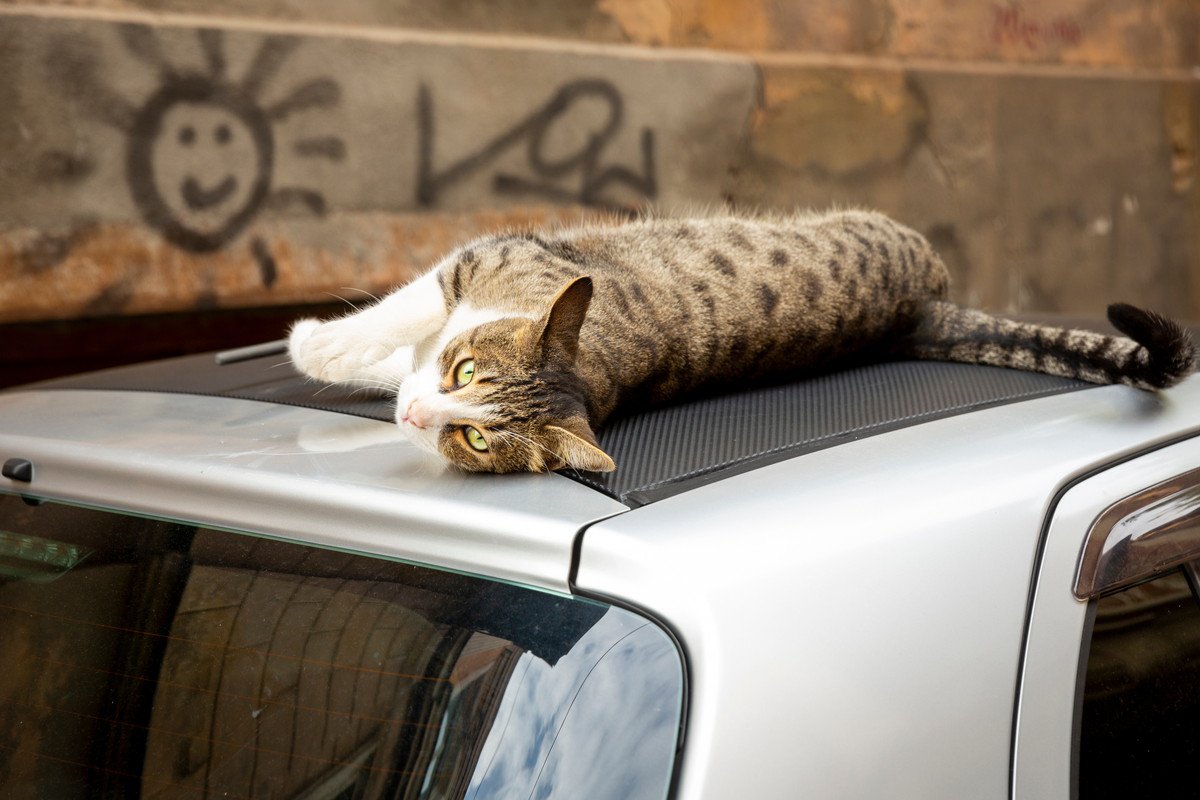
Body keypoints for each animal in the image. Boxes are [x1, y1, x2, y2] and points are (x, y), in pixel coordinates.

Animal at [285, 211, 1195, 474]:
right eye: (464, 369)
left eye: (475, 439)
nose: (417, 420)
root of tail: (921, 311)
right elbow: (407, 337)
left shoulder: (482, 260)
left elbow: (396, 315)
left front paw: (313, 343)